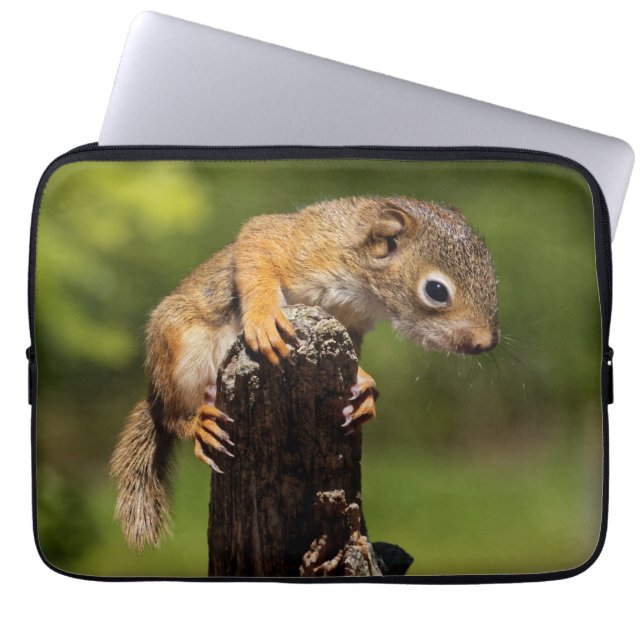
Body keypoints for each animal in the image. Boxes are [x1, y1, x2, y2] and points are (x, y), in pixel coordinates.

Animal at [110, 196, 499, 551]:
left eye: (493, 280)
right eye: (436, 290)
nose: (486, 343)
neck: (364, 283)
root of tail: (155, 389)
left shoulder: (350, 321)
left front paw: (364, 389)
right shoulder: (300, 243)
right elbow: (257, 247)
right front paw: (265, 317)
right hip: (181, 349)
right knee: (171, 414)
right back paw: (197, 421)